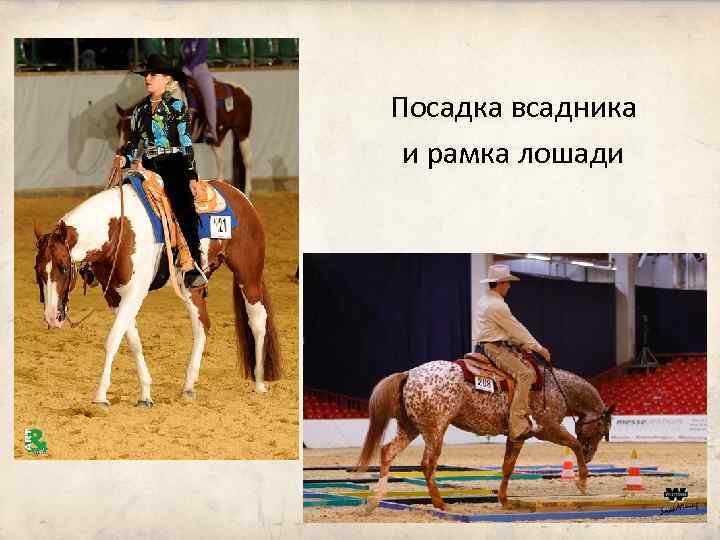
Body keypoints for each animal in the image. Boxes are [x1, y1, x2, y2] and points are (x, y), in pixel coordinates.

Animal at [33, 175, 280, 408]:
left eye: (64, 268)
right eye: (37, 270)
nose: (52, 317)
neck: (118, 230)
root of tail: (240, 195)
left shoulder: (135, 293)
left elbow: (112, 339)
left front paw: (101, 396)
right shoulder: (114, 296)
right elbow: (132, 341)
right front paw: (145, 394)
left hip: (248, 275)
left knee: (258, 321)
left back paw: (259, 383)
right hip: (191, 286)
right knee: (202, 325)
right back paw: (189, 386)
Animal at [116, 78, 253, 193]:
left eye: (128, 128)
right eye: (118, 128)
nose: (120, 149)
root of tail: (242, 91)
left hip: (243, 133)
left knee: (245, 161)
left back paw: (246, 191)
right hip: (219, 137)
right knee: (222, 162)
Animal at [356, 360, 615, 511]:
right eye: (603, 430)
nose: (592, 456)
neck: (555, 387)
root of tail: (409, 374)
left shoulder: (517, 437)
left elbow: (508, 467)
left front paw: (505, 500)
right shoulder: (549, 429)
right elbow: (575, 444)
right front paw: (582, 481)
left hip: (410, 428)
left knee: (387, 452)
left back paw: (375, 500)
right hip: (435, 430)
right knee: (427, 464)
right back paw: (440, 504)